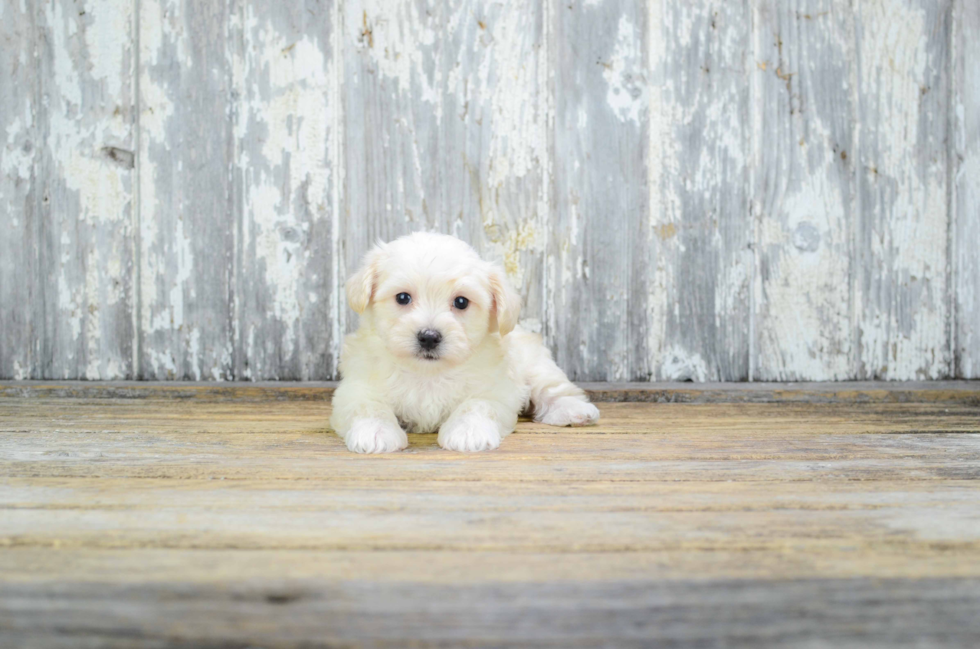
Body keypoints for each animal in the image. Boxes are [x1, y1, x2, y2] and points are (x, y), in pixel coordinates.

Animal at [334, 232, 600, 450]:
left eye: (461, 302)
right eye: (402, 298)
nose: (429, 337)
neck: (428, 373)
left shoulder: (497, 389)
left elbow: (477, 404)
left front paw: (468, 433)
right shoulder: (356, 388)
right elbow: (368, 405)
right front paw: (375, 432)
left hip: (536, 364)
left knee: (553, 388)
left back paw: (574, 410)